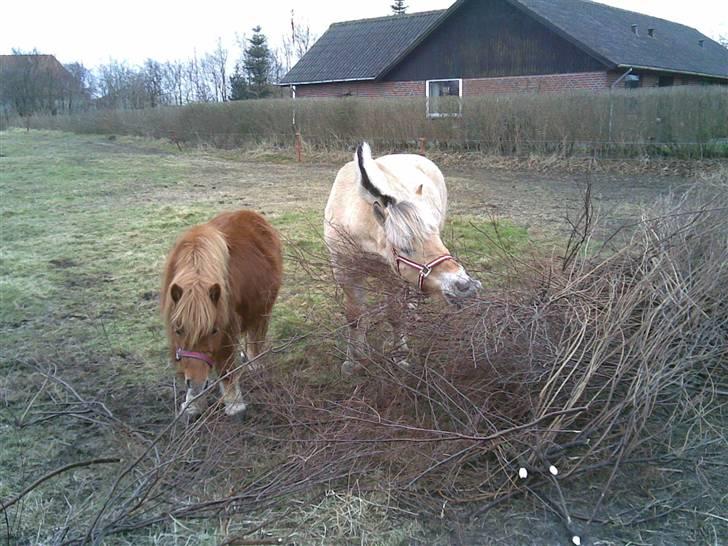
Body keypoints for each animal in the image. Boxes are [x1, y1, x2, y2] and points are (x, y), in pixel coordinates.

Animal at [161, 210, 282, 414]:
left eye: (213, 331)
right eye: (178, 330)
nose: (197, 384)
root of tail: (252, 215)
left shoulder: (227, 327)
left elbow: (225, 367)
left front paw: (234, 404)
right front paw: (193, 404)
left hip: (263, 308)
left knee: (256, 335)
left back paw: (254, 362)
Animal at [326, 142, 484, 372]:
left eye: (435, 236)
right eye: (404, 248)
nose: (465, 286)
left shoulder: (393, 278)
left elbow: (395, 316)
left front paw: (399, 355)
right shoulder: (345, 273)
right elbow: (355, 317)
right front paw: (353, 359)